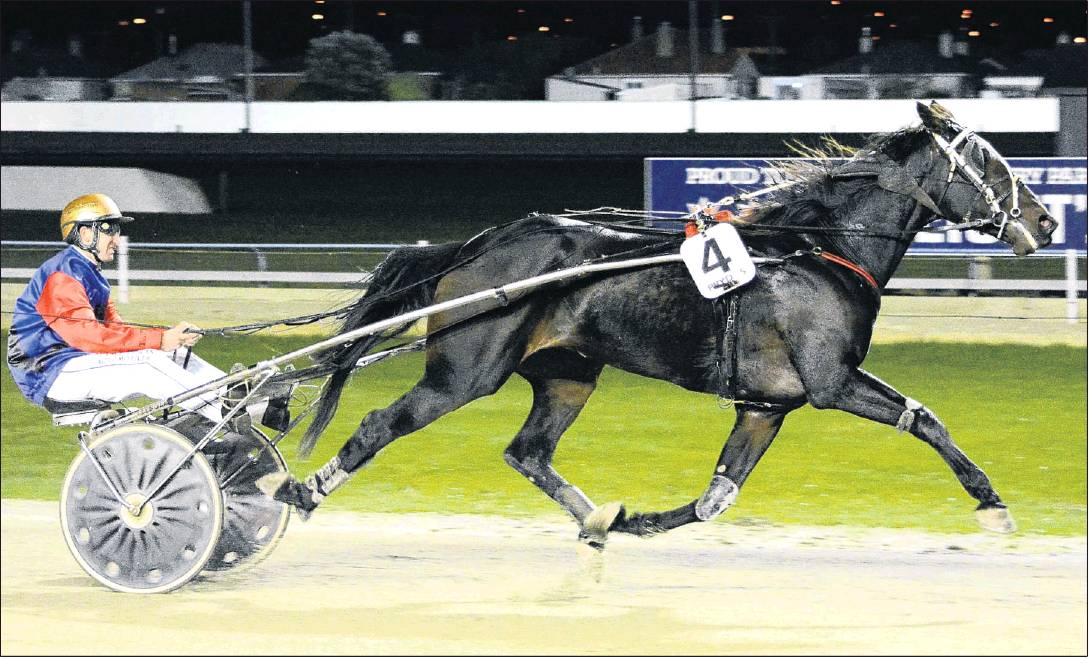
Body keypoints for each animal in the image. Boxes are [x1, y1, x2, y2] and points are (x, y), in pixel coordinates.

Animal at [257, 101, 1054, 544]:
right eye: (988, 162)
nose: (1045, 220)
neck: (816, 248)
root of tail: (483, 243)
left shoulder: (765, 404)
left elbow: (715, 498)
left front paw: (636, 521)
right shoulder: (831, 382)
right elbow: (925, 420)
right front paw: (991, 505)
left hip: (569, 374)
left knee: (528, 452)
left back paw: (595, 520)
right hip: (466, 369)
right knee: (379, 425)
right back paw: (302, 492)